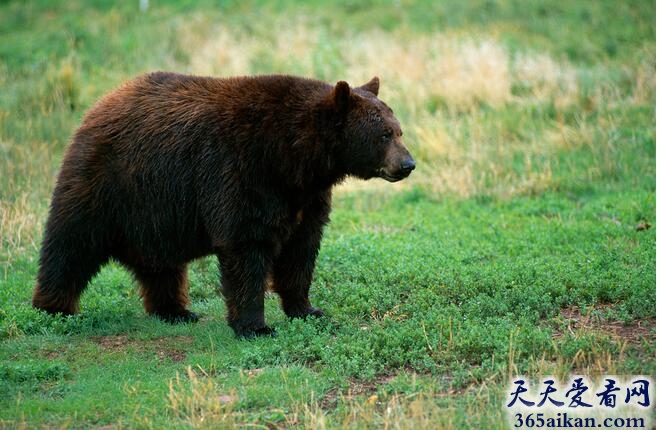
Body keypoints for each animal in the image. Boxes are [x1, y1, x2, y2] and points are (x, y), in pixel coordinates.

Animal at [32, 72, 416, 338]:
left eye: (399, 131)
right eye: (384, 134)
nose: (408, 164)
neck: (293, 159)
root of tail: (100, 103)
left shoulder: (304, 197)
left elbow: (301, 249)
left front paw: (307, 309)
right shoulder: (239, 171)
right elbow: (246, 246)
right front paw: (256, 326)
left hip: (154, 211)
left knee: (161, 265)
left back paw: (175, 310)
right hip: (107, 185)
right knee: (70, 245)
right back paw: (53, 308)